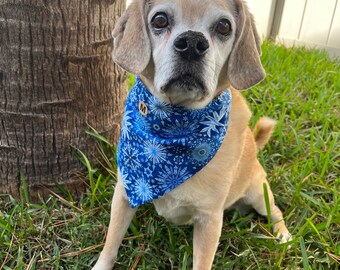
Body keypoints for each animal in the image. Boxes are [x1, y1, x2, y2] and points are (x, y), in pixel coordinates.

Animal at [91, 1, 290, 268]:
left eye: (224, 26)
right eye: (159, 20)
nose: (193, 43)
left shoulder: (209, 220)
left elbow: (202, 262)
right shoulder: (124, 192)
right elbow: (111, 243)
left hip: (259, 193)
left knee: (276, 211)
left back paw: (283, 235)